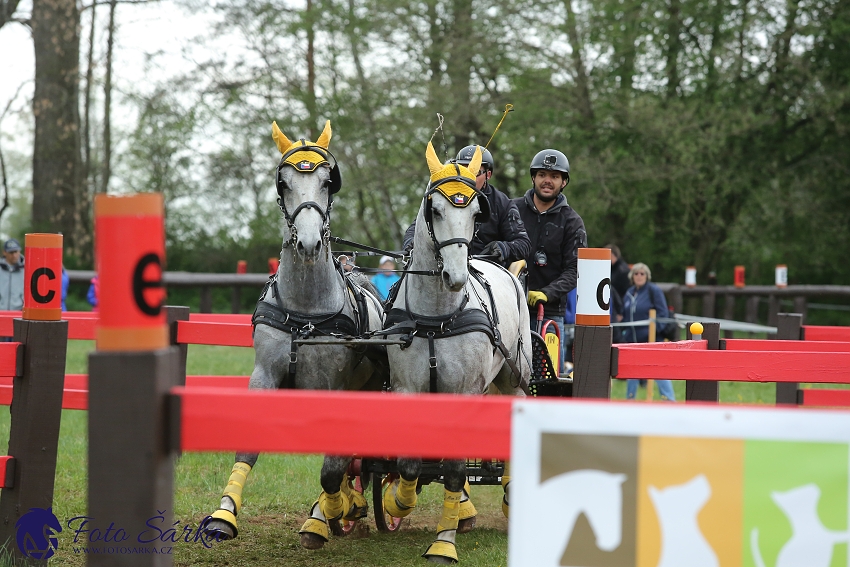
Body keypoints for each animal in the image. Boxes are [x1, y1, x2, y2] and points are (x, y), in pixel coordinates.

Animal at [202, 120, 384, 552]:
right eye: (283, 182)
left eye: (327, 181)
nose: (309, 242)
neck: (306, 312)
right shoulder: (265, 374)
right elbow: (249, 445)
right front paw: (224, 516)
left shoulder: (334, 389)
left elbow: (331, 468)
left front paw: (325, 515)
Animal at [380, 141, 528, 564]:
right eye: (435, 210)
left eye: (477, 213)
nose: (457, 276)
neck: (436, 317)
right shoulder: (408, 389)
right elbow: (411, 462)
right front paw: (398, 502)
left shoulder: (464, 392)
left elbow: (456, 469)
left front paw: (444, 542)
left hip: (514, 376)